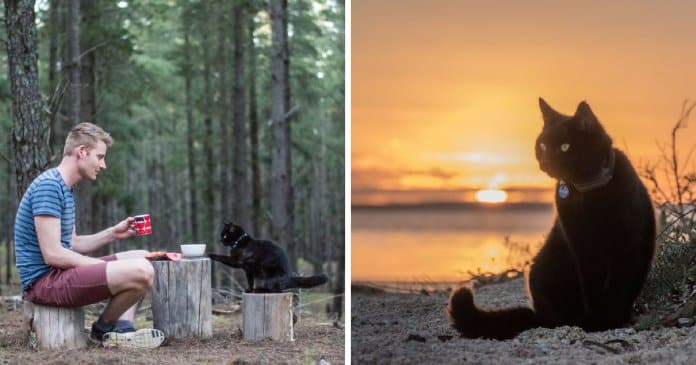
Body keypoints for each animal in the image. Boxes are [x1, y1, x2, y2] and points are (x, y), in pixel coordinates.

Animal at [448, 98, 656, 340]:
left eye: (565, 146)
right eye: (543, 146)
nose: (545, 161)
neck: (587, 191)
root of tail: (537, 316)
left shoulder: (629, 245)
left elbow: (619, 285)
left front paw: (608, 320)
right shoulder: (582, 248)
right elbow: (591, 286)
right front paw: (594, 321)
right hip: (544, 267)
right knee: (555, 317)